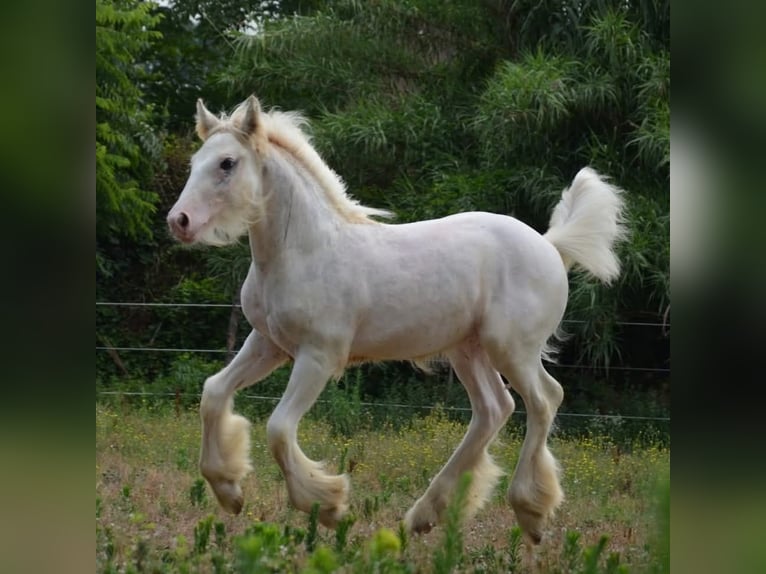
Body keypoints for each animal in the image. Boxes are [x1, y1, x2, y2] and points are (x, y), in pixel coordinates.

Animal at [165, 94, 628, 544]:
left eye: (227, 163)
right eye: (195, 161)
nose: (179, 221)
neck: (303, 250)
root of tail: (550, 245)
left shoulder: (319, 356)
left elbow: (278, 429)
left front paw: (328, 505)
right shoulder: (268, 343)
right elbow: (213, 393)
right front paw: (228, 491)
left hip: (512, 349)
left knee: (544, 400)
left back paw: (530, 514)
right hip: (467, 350)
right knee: (495, 409)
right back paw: (425, 515)